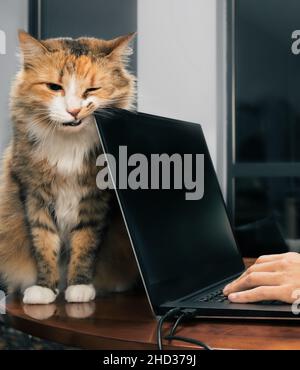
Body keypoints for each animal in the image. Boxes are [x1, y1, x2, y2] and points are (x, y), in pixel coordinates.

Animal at [0, 31, 139, 304]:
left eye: (92, 89)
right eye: (54, 87)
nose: (74, 110)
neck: (69, 145)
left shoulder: (95, 200)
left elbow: (84, 244)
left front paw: (79, 287)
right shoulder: (35, 195)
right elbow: (44, 244)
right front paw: (45, 289)